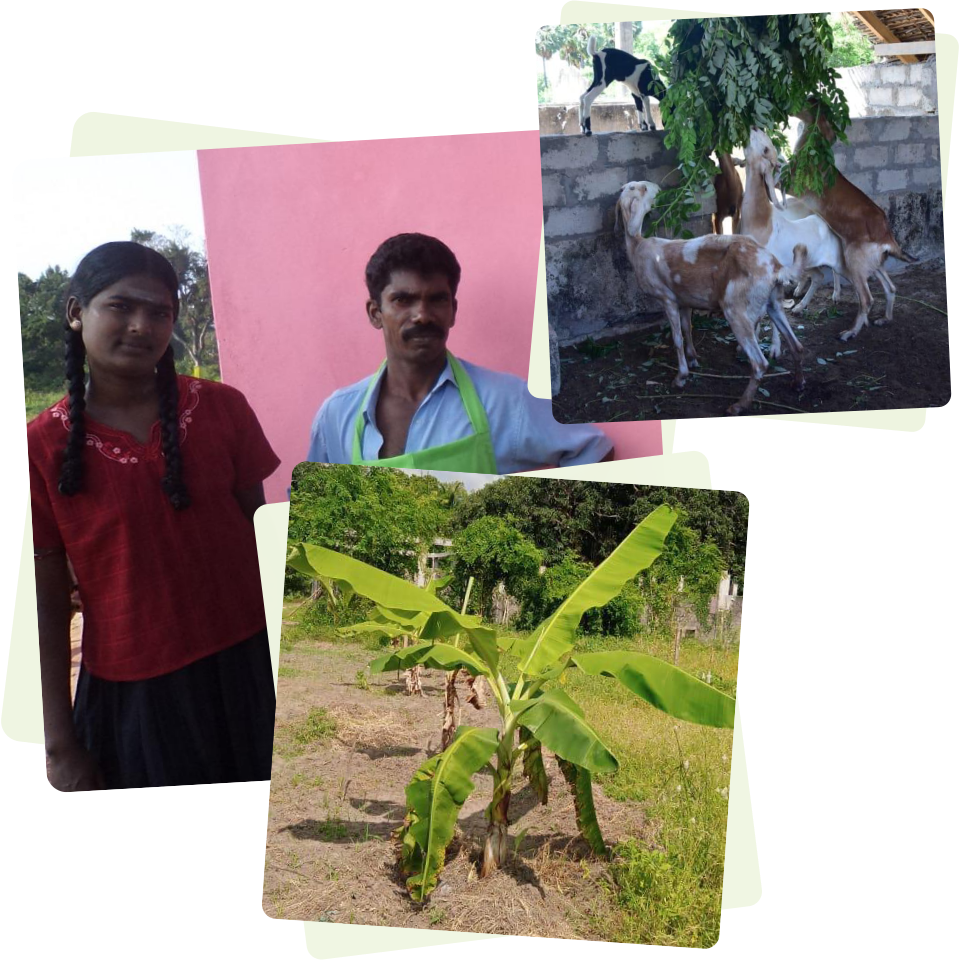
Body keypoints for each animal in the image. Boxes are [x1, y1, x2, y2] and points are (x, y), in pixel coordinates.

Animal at [620, 182, 808, 414]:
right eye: (641, 188)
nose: (657, 188)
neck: (638, 246)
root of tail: (775, 267)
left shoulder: (667, 299)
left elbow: (677, 338)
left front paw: (680, 377)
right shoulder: (684, 300)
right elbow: (687, 329)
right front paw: (693, 359)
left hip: (736, 310)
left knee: (760, 364)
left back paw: (738, 405)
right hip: (773, 303)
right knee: (797, 346)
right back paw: (798, 384)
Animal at [784, 101, 920, 340]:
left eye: (810, 102)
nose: (788, 106)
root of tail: (888, 238)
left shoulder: (789, 183)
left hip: (854, 263)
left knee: (867, 299)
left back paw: (850, 332)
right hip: (872, 265)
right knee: (890, 289)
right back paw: (883, 319)